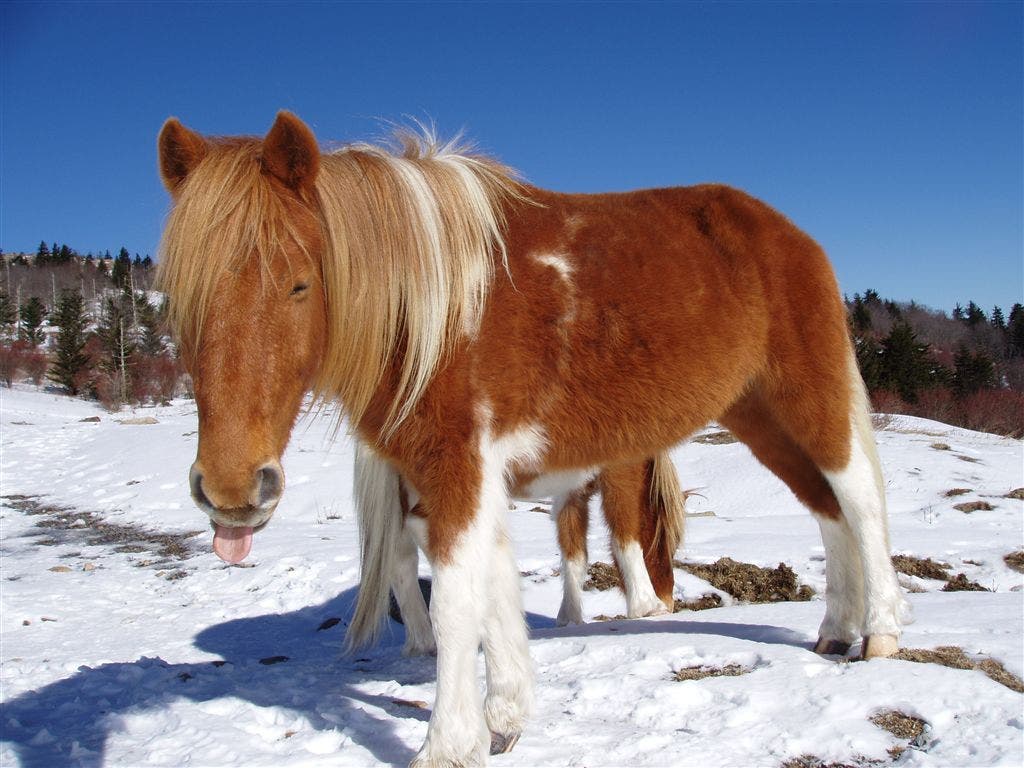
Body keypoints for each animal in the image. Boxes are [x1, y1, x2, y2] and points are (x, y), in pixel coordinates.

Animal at [366, 449, 687, 656]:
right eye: (667, 541)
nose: (669, 601)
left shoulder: (572, 490)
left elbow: (574, 553)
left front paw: (570, 617)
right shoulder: (619, 472)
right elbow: (625, 535)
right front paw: (646, 605)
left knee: (401, 559)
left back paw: (422, 641)